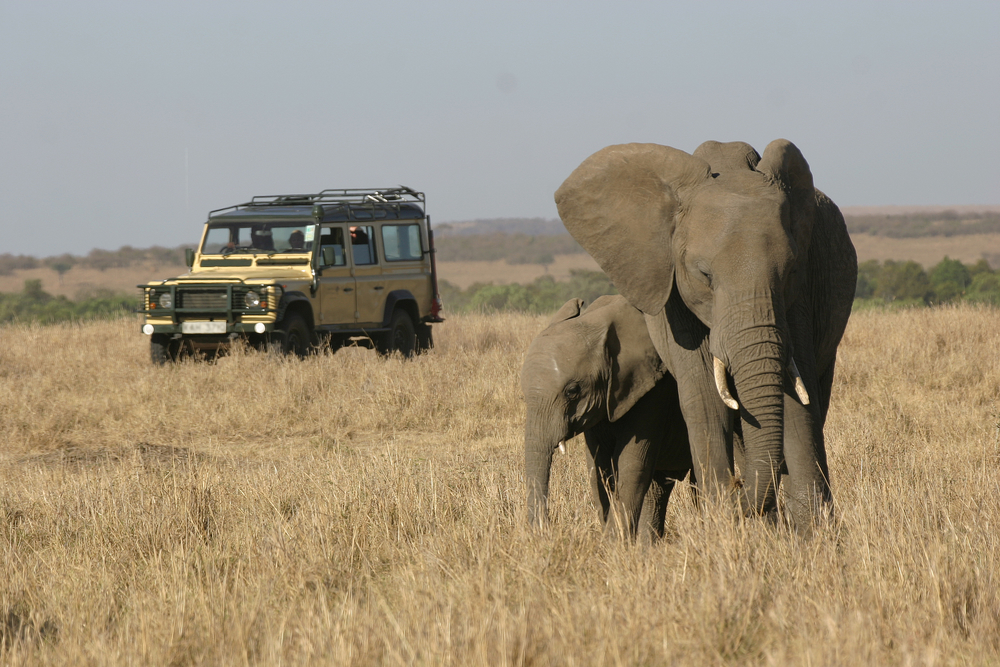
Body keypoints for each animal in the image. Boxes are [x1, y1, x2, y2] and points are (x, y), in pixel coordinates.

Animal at [520, 298, 692, 544]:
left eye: (572, 391)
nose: (547, 531)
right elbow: (598, 469)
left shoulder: (653, 392)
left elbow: (630, 467)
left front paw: (612, 544)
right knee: (658, 487)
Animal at [552, 141, 856, 532]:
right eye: (704, 275)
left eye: (789, 271)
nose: (738, 489)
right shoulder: (672, 295)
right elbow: (705, 397)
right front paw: (723, 521)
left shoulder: (799, 295)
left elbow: (797, 403)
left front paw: (813, 534)